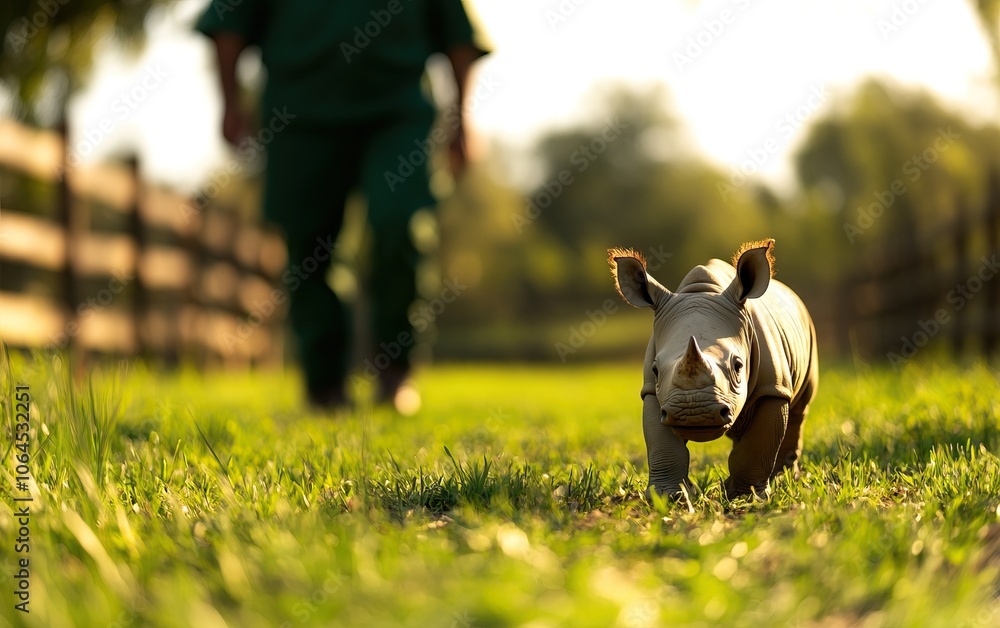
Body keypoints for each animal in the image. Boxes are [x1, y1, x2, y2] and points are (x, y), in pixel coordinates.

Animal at [609, 239, 818, 498]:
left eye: (738, 366)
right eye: (656, 370)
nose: (694, 414)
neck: (703, 291)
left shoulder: (773, 388)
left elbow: (757, 444)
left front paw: (745, 496)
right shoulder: (653, 392)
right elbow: (663, 447)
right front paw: (669, 496)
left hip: (807, 330)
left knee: (800, 407)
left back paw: (784, 477)